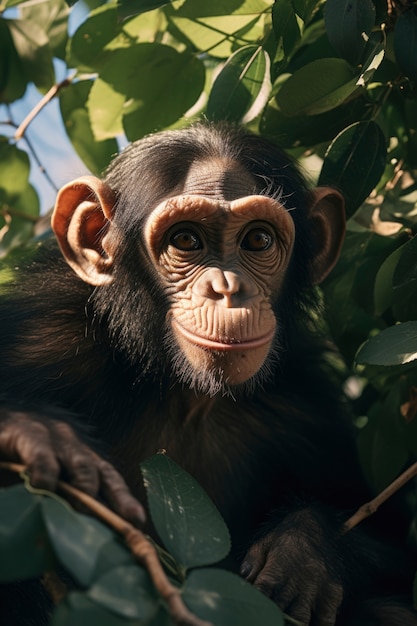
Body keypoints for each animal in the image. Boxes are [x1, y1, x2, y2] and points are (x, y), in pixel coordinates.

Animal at [0, 122, 416, 624]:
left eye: (258, 241)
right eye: (186, 241)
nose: (228, 288)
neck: (182, 393)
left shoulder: (308, 404)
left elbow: (392, 540)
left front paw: (306, 548)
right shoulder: (40, 340)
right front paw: (33, 433)